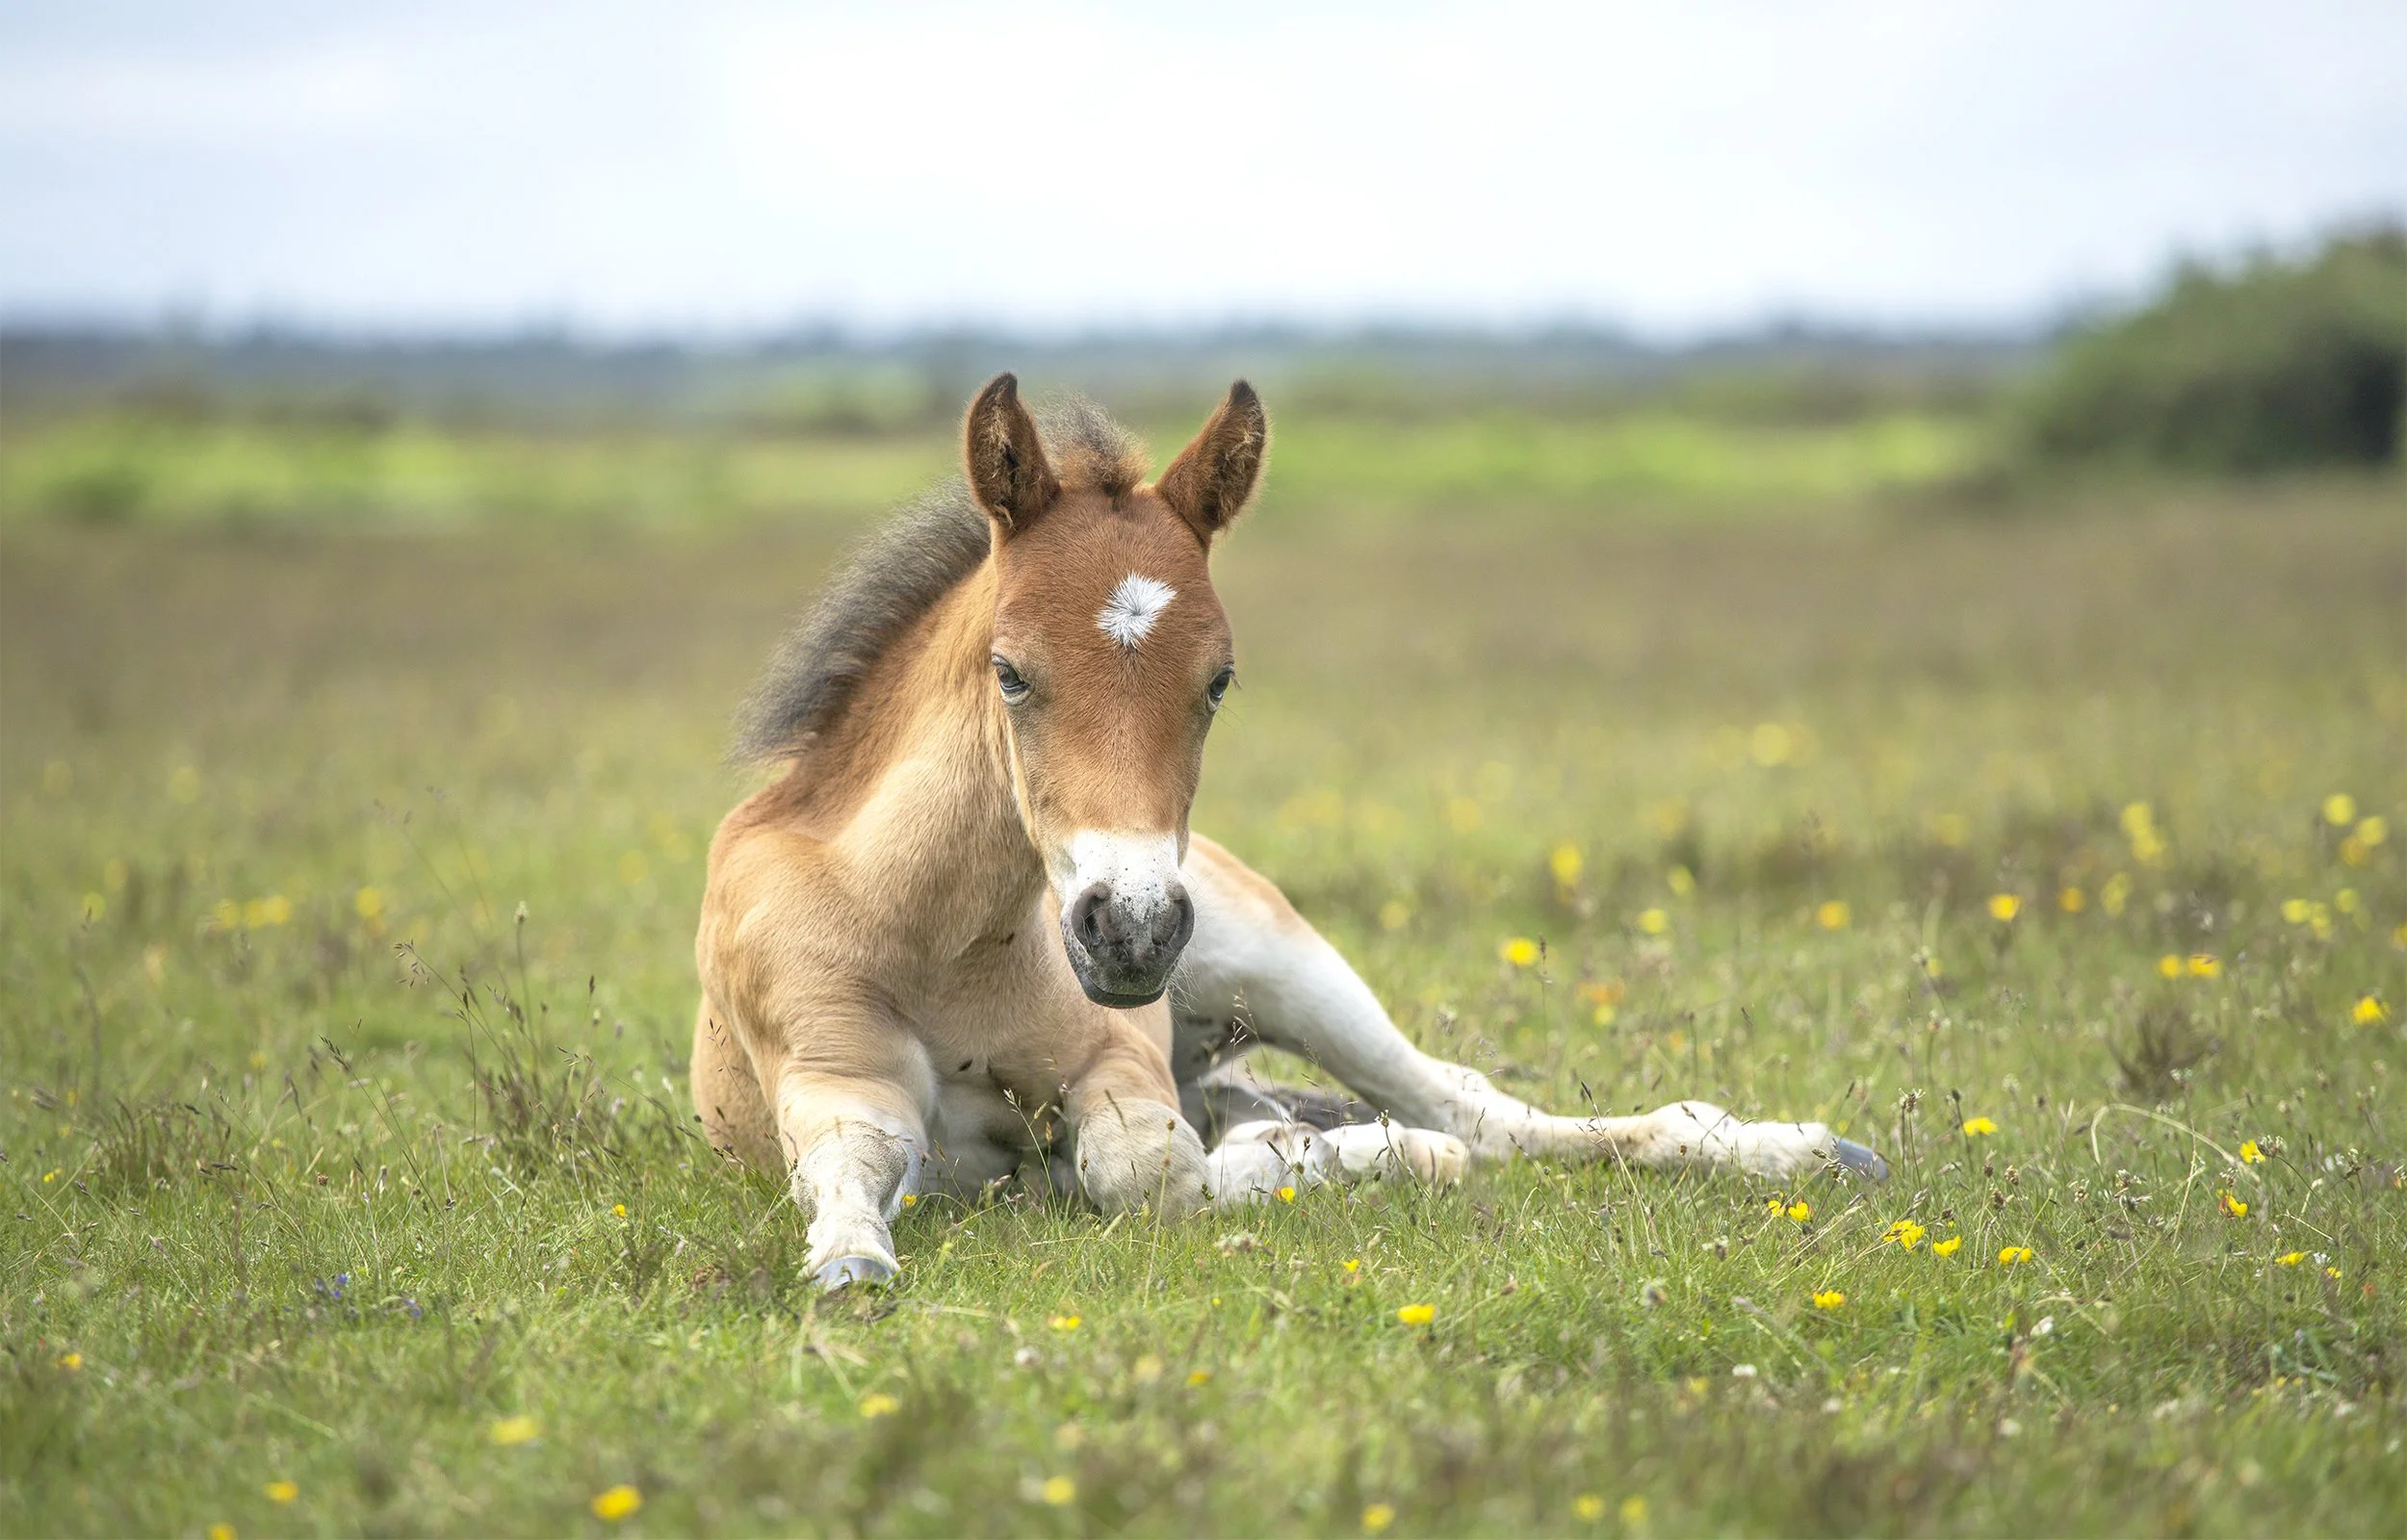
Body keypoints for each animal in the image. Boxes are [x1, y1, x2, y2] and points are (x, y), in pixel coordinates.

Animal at [691, 374, 1887, 1288]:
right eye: (1010, 671)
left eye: (1219, 677)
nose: (1129, 930)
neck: (936, 930)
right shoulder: (833, 1075)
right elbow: (858, 1159)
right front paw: (849, 1266)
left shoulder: (1122, 1060)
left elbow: (1152, 1172)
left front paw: (1287, 1152)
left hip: (1278, 959)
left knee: (1472, 1111)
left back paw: (1794, 1149)